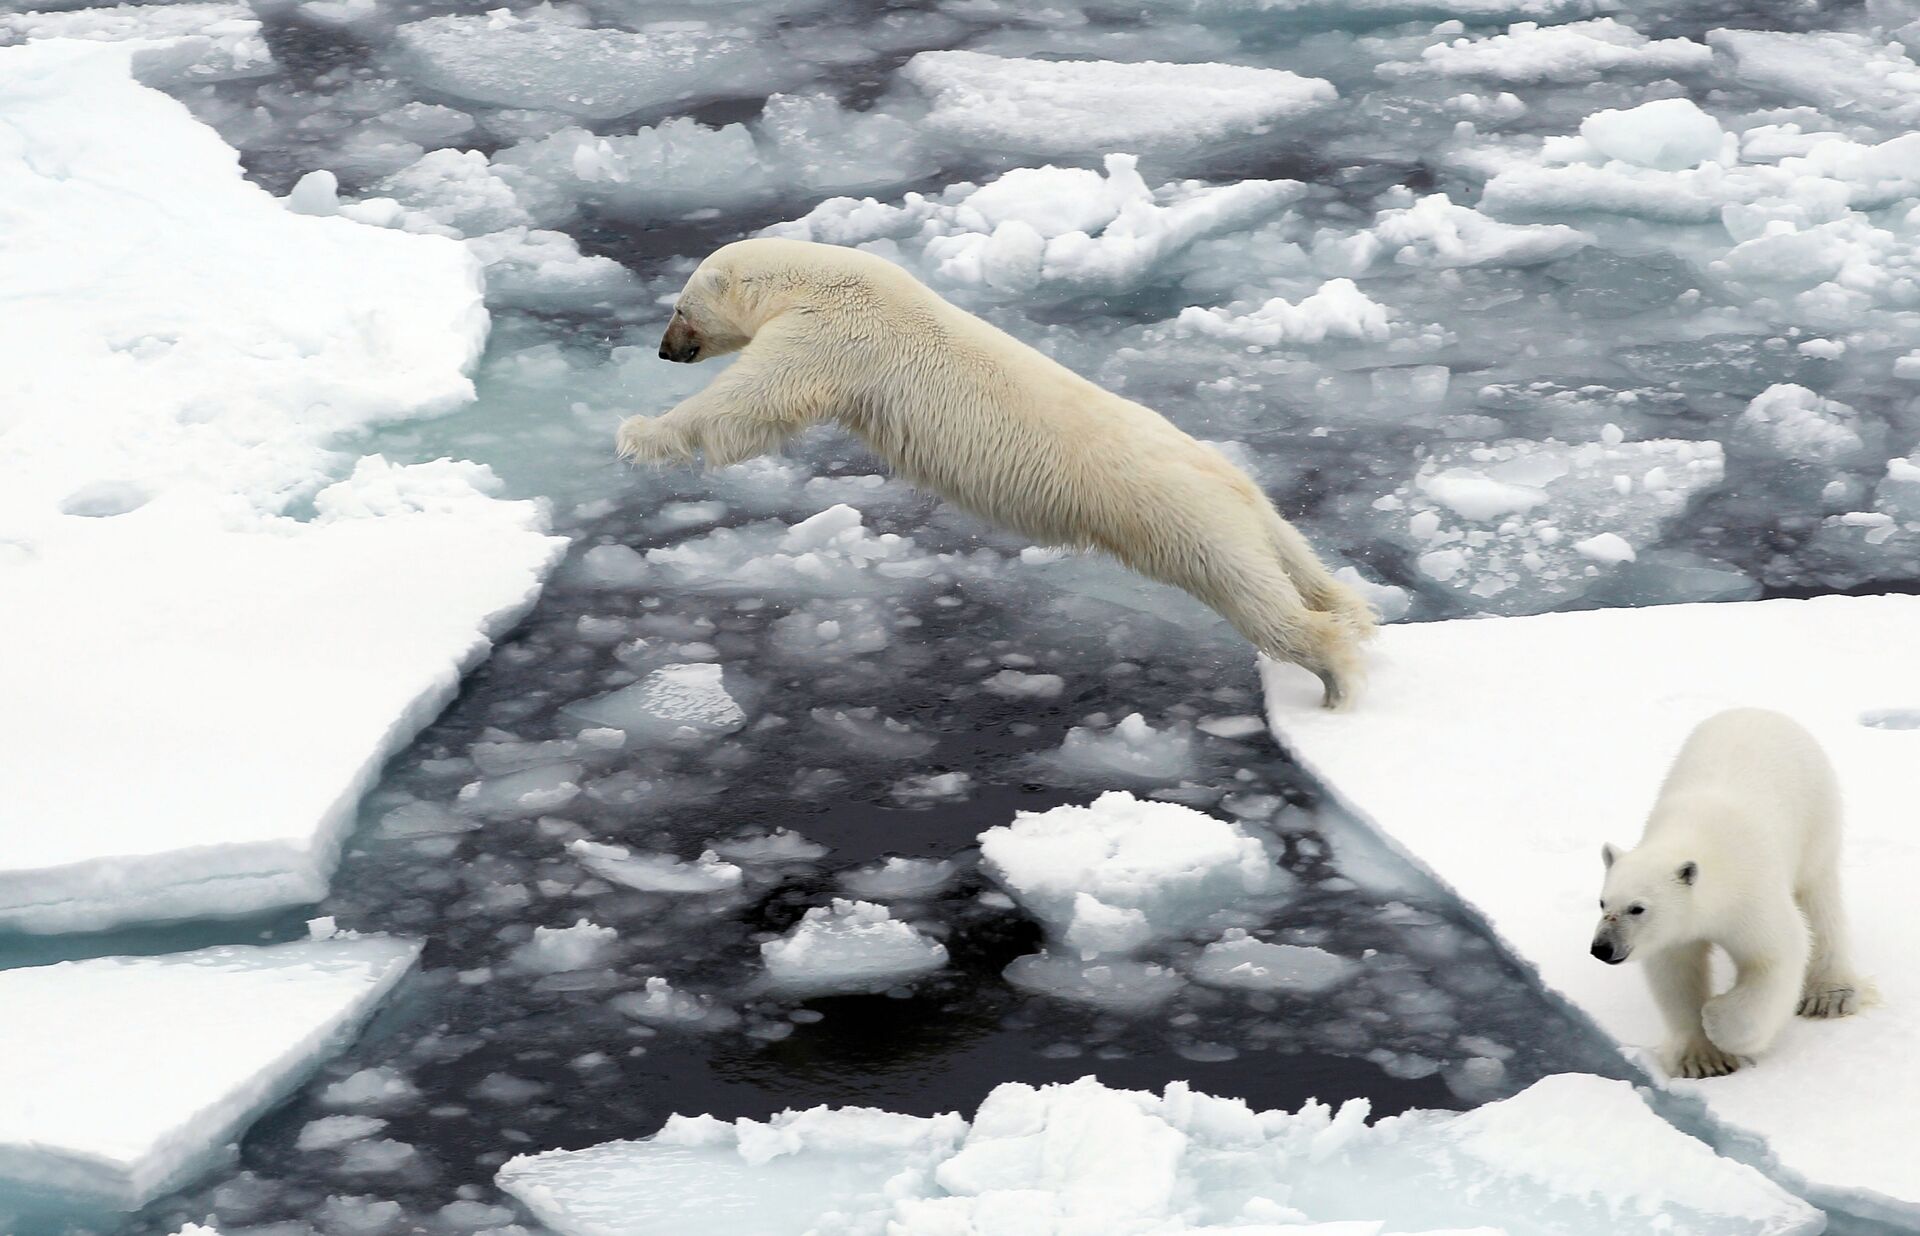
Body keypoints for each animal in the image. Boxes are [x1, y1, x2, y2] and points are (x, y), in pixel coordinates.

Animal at [622, 237, 1374, 710]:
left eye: (680, 308)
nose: (662, 351)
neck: (820, 277)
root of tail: (1231, 481)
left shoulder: (832, 332)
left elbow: (752, 400)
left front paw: (639, 434)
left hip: (1182, 520)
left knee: (1253, 597)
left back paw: (1336, 680)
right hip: (1243, 509)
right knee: (1299, 565)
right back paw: (1353, 614)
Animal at [1597, 710, 1866, 1074]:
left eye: (1637, 908)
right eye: (1602, 903)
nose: (1602, 948)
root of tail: (1761, 710)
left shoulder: (1750, 895)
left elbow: (1775, 955)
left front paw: (1716, 1018)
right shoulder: (1676, 931)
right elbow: (1676, 972)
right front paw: (1703, 1061)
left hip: (1817, 816)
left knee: (1819, 898)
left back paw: (1828, 995)